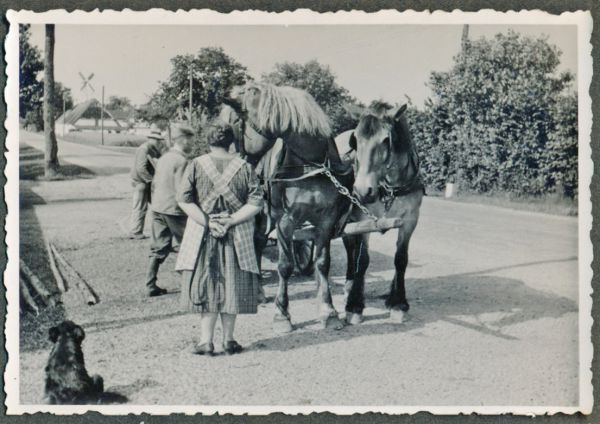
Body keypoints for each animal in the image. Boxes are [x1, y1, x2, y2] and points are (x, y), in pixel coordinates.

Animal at [223, 83, 354, 332]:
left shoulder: (326, 220)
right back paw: (258, 292)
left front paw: (329, 311)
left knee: (258, 242)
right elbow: (285, 265)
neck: (312, 166)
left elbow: (322, 263)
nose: (236, 161)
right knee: (256, 243)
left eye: (236, 121)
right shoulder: (285, 220)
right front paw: (282, 314)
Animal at [336, 102, 424, 324]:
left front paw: (398, 303)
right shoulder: (362, 220)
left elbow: (401, 259)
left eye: (386, 140)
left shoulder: (410, 220)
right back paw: (349, 285)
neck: (391, 187)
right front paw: (355, 306)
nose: (362, 191)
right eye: (355, 139)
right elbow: (362, 259)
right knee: (351, 250)